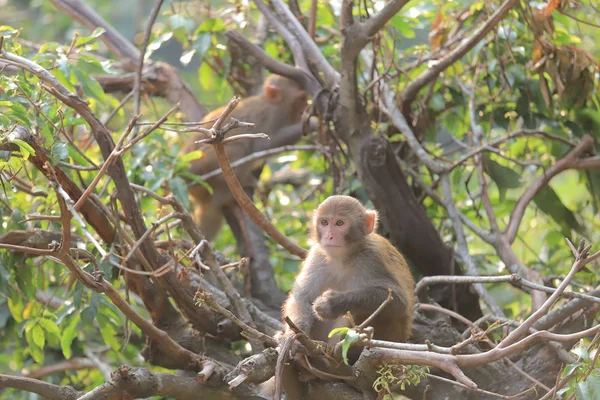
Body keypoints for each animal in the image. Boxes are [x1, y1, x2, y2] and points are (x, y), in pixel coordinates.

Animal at [284, 195, 414, 344]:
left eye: (340, 223)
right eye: (324, 222)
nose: (329, 236)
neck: (344, 258)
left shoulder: (373, 258)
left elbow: (398, 301)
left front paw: (332, 303)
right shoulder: (317, 256)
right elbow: (302, 298)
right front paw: (293, 337)